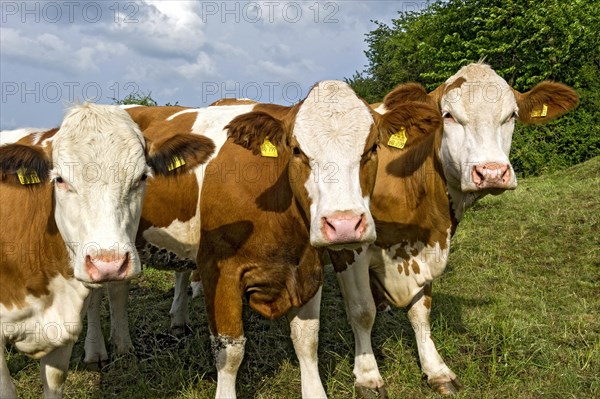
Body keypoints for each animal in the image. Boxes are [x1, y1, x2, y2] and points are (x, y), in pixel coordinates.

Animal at [196, 79, 440, 398]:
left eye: (373, 147)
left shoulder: (307, 270)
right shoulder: (218, 271)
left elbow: (306, 338)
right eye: (296, 149)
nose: (344, 224)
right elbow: (230, 352)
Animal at [328, 63, 580, 396]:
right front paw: (367, 375)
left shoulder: (428, 245)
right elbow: (361, 311)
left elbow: (421, 312)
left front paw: (436, 370)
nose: (492, 172)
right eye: (448, 115)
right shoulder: (348, 246)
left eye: (511, 115)